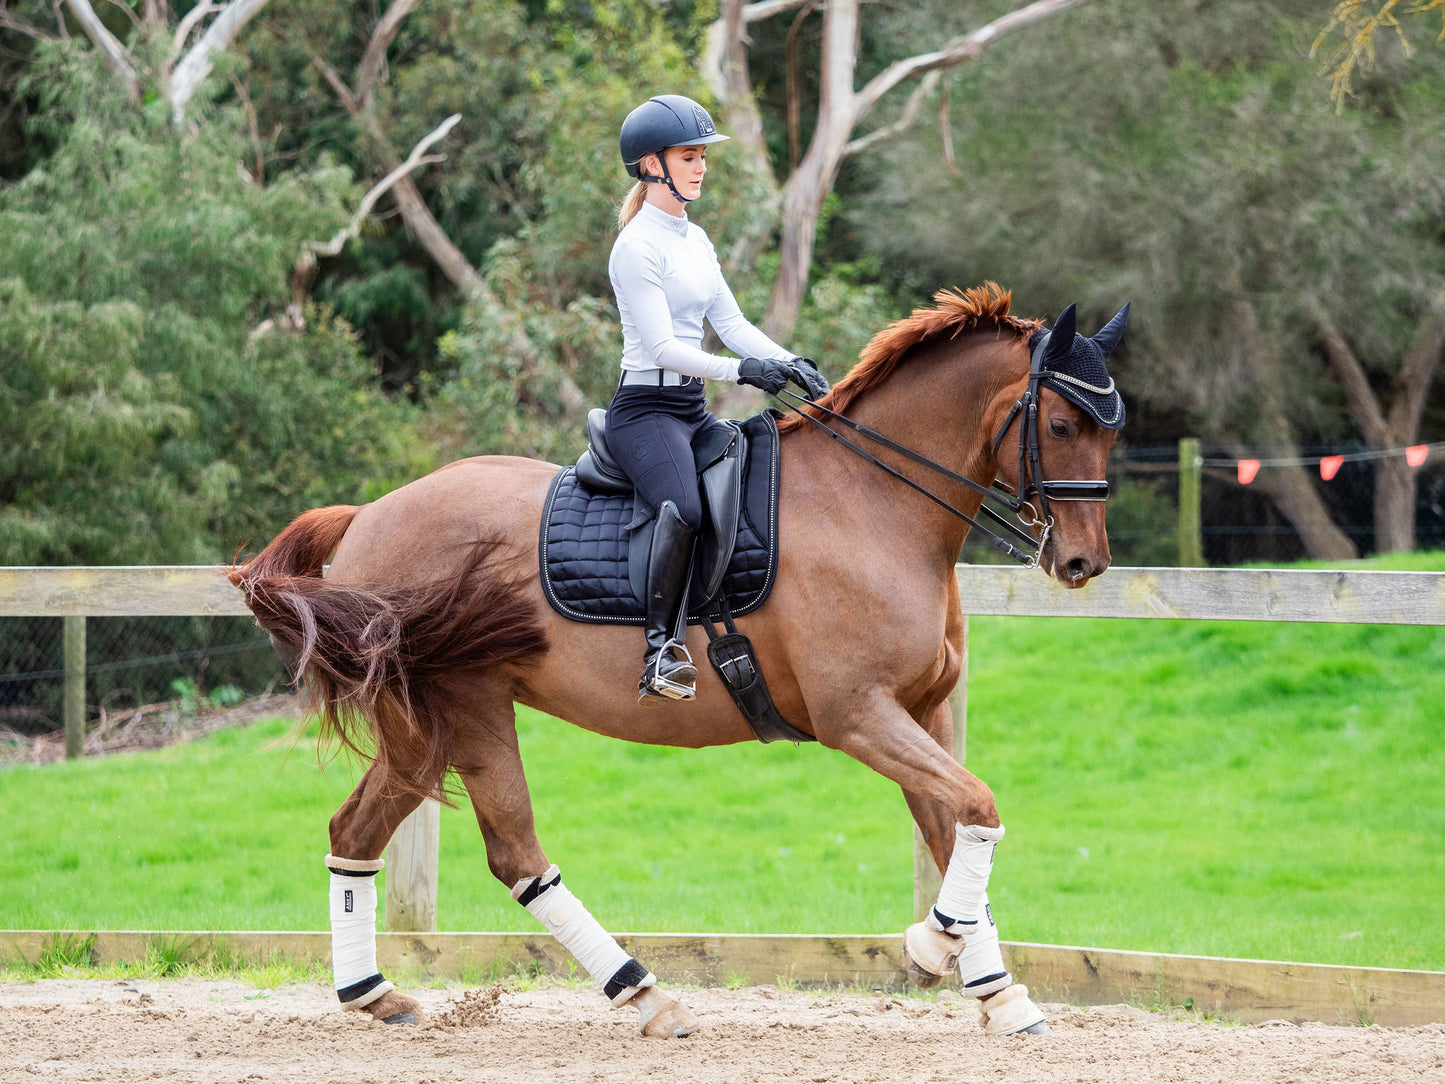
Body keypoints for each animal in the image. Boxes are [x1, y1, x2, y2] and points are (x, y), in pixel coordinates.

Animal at [231, 284, 1121, 1040]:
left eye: (1109, 428)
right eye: (1063, 426)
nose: (1083, 564)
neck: (872, 502)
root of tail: (365, 516)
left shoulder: (922, 712)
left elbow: (957, 829)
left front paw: (997, 992)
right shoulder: (859, 717)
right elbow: (977, 808)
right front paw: (933, 949)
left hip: (439, 723)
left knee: (372, 833)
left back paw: (375, 994)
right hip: (454, 706)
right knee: (506, 851)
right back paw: (643, 994)